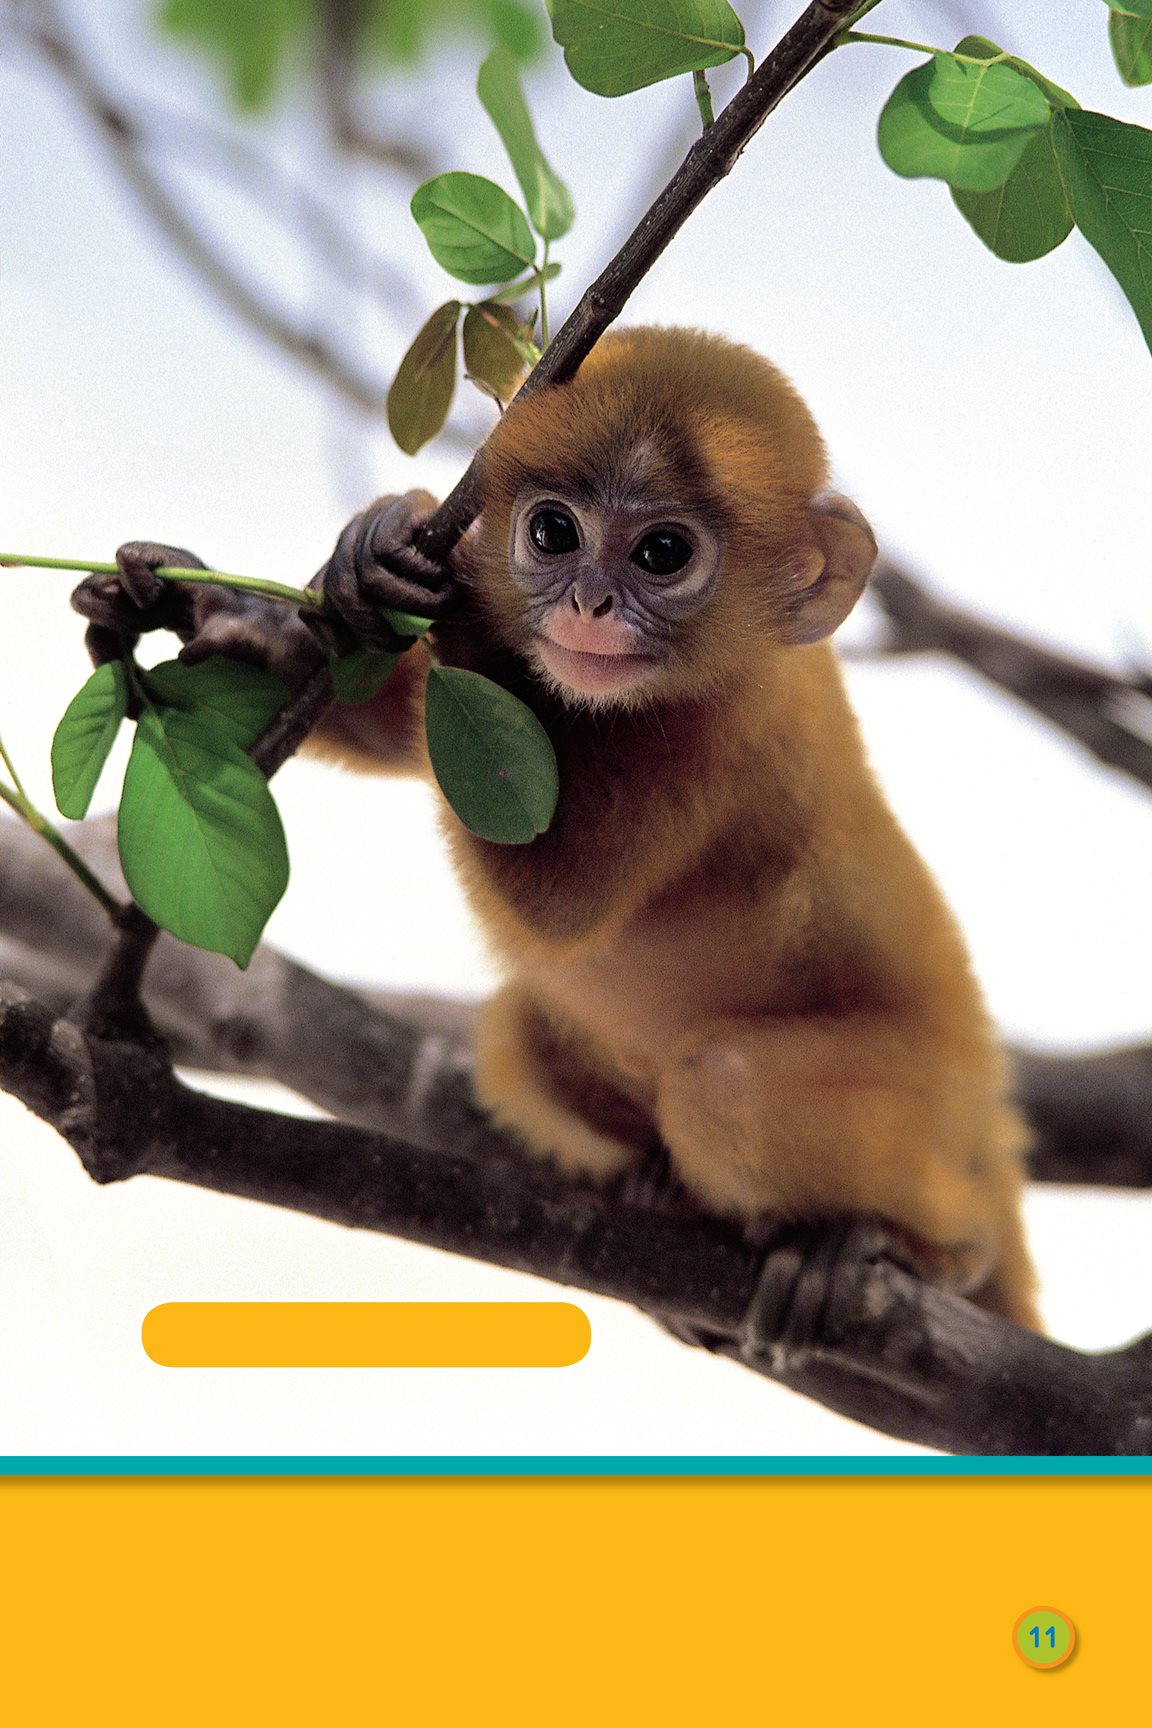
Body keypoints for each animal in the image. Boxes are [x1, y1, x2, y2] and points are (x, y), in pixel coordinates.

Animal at [76, 326, 1043, 1320]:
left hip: (934, 1114)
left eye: (662, 552)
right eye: (552, 533)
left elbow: (561, 903)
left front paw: (423, 584)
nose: (587, 604)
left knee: (727, 1089)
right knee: (521, 1038)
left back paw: (908, 1249)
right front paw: (281, 598)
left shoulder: (718, 732)